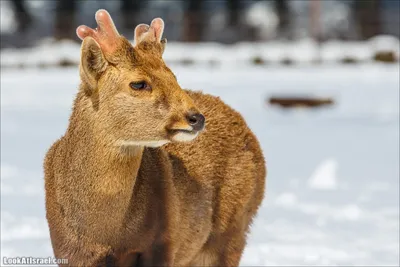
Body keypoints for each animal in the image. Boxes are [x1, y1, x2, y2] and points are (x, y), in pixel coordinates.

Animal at [44, 8, 266, 267]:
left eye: (173, 76)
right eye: (138, 84)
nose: (196, 117)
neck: (105, 232)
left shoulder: (163, 241)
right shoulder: (69, 251)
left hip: (233, 228)